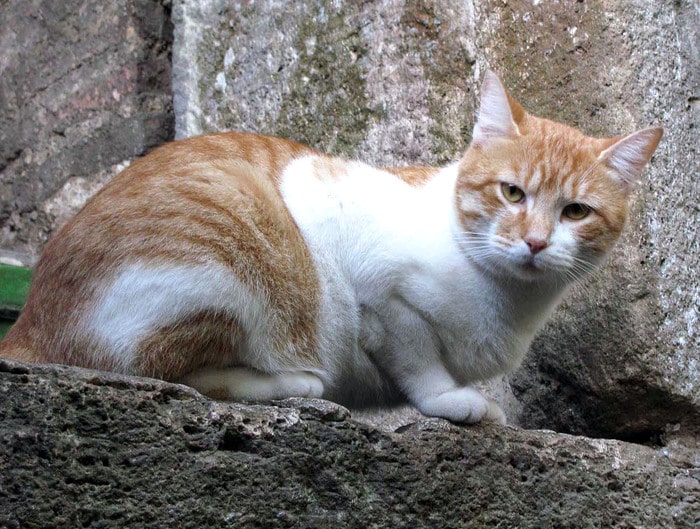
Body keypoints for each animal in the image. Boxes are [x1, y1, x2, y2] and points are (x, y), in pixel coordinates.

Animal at [0, 71, 662, 424]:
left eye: (575, 212)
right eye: (512, 192)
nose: (534, 242)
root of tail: (29, 323)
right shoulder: (377, 291)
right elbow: (417, 355)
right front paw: (450, 399)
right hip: (229, 258)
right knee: (170, 372)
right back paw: (294, 383)